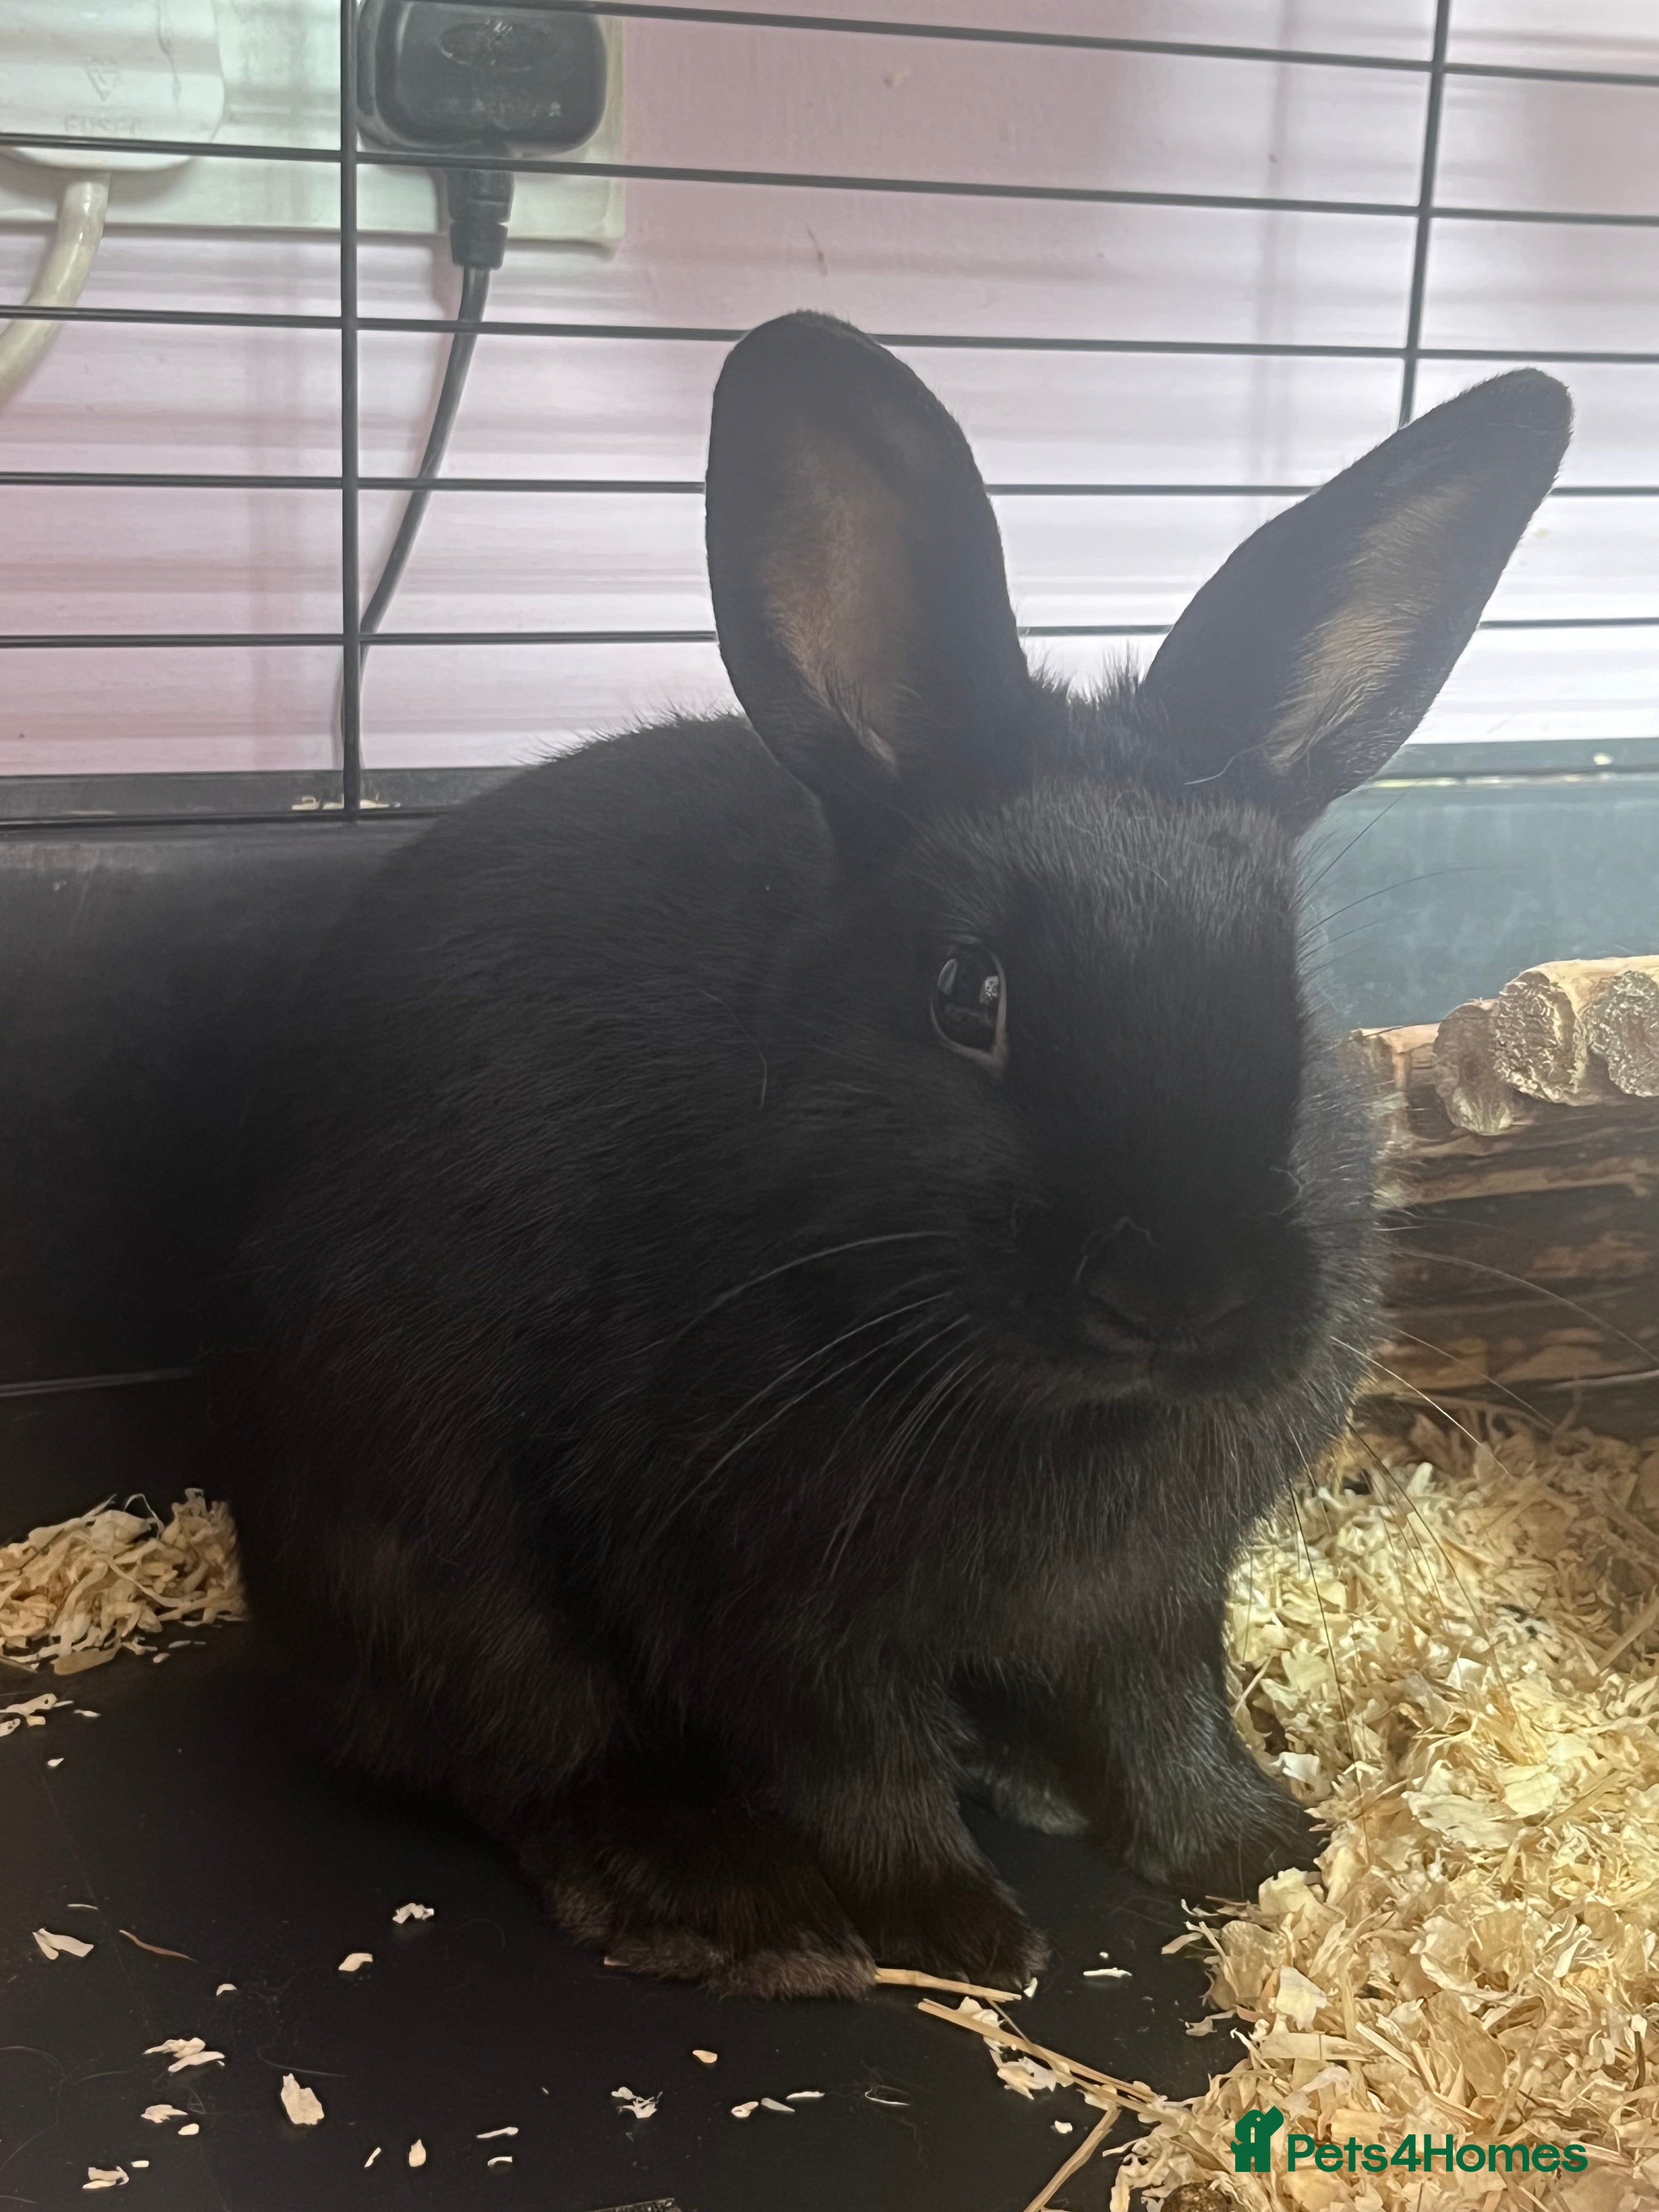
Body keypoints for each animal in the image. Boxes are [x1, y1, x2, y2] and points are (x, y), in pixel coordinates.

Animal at [215, 314, 1570, 1999]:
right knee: (523, 1752)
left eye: (1288, 998)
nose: (1177, 1297)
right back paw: (741, 1914)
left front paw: (1254, 1848)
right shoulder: (761, 1599)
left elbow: (1165, 1711)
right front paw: (958, 1932)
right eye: (965, 997)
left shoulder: (1152, 1597)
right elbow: (852, 1764)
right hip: (432, 1553)